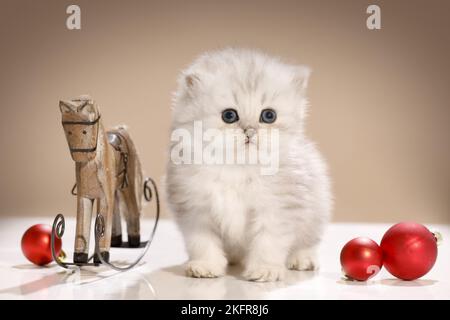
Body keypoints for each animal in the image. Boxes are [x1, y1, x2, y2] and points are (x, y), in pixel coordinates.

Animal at [165, 48, 330, 282]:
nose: (250, 131)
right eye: (229, 115)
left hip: (316, 210)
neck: (238, 167)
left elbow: (268, 243)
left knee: (307, 242)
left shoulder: (277, 209)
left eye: (269, 115)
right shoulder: (196, 211)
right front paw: (206, 266)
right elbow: (203, 244)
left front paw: (265, 270)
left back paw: (302, 259)